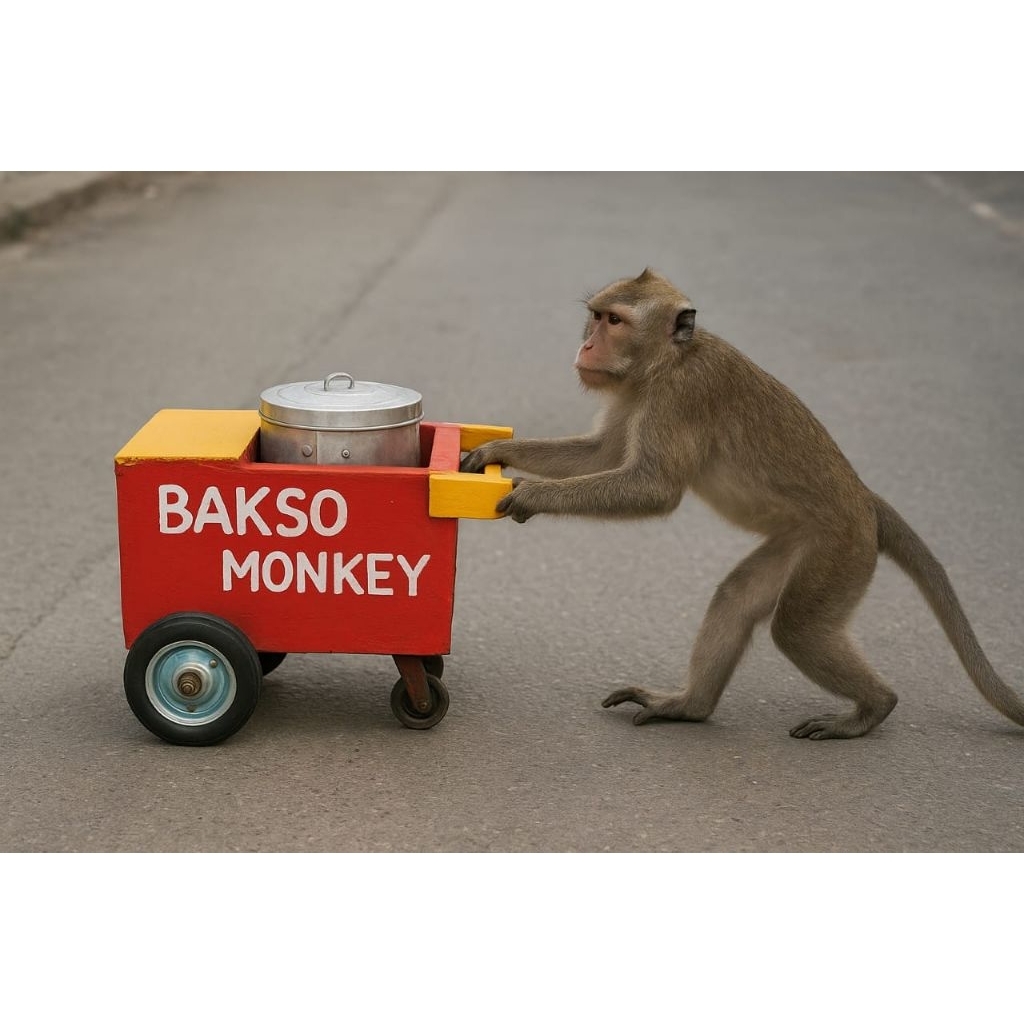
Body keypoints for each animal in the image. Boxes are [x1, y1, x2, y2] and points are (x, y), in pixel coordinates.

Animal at [459, 268, 1024, 739]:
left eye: (615, 321)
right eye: (596, 316)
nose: (587, 345)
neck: (667, 362)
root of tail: (863, 499)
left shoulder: (681, 397)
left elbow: (654, 489)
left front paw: (532, 492)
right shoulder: (633, 395)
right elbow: (600, 455)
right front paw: (495, 453)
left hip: (838, 550)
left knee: (797, 629)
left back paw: (871, 709)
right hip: (800, 542)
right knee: (736, 597)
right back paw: (688, 707)